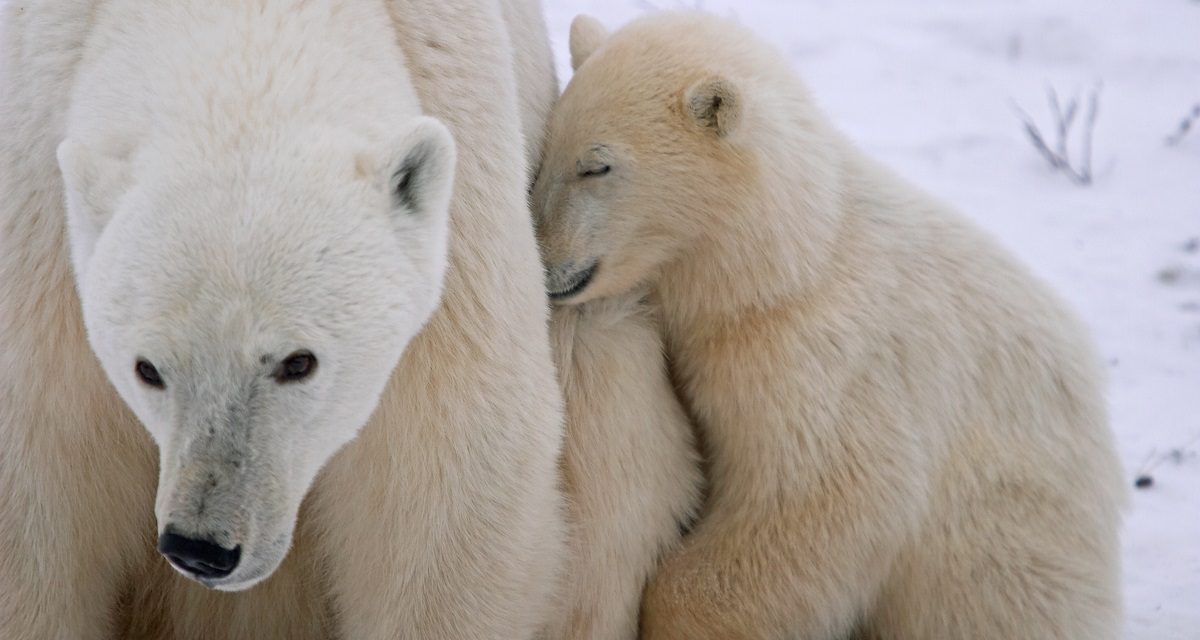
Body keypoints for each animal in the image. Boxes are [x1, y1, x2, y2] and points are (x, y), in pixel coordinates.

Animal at [0, 1, 565, 638]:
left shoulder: (464, 205)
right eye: (147, 369)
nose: (203, 547)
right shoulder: (39, 228)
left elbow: (446, 484)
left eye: (299, 362)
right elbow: (42, 481)